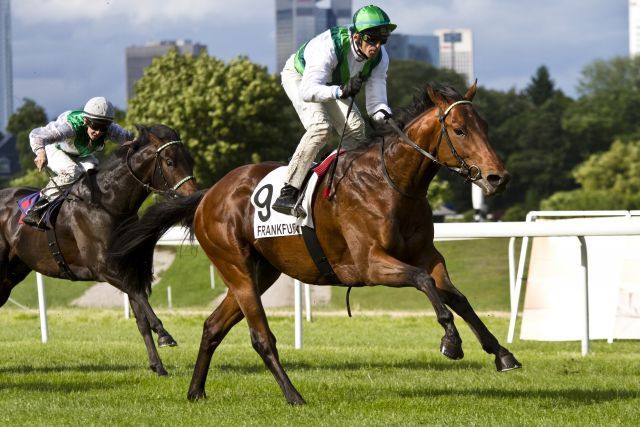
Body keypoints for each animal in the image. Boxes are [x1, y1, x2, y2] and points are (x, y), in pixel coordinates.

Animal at [0, 124, 198, 378]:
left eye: (190, 160)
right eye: (170, 162)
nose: (193, 197)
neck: (109, 204)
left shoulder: (125, 267)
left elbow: (141, 318)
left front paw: (158, 366)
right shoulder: (102, 268)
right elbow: (139, 295)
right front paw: (165, 335)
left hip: (12, 272)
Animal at [112, 83, 524, 404]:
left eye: (484, 126)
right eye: (458, 129)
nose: (498, 177)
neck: (392, 183)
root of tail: (207, 195)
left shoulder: (427, 254)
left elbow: (456, 296)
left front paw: (502, 354)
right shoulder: (368, 264)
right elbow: (425, 284)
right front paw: (451, 341)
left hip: (261, 272)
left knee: (213, 326)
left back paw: (196, 391)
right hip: (236, 267)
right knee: (260, 337)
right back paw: (293, 395)